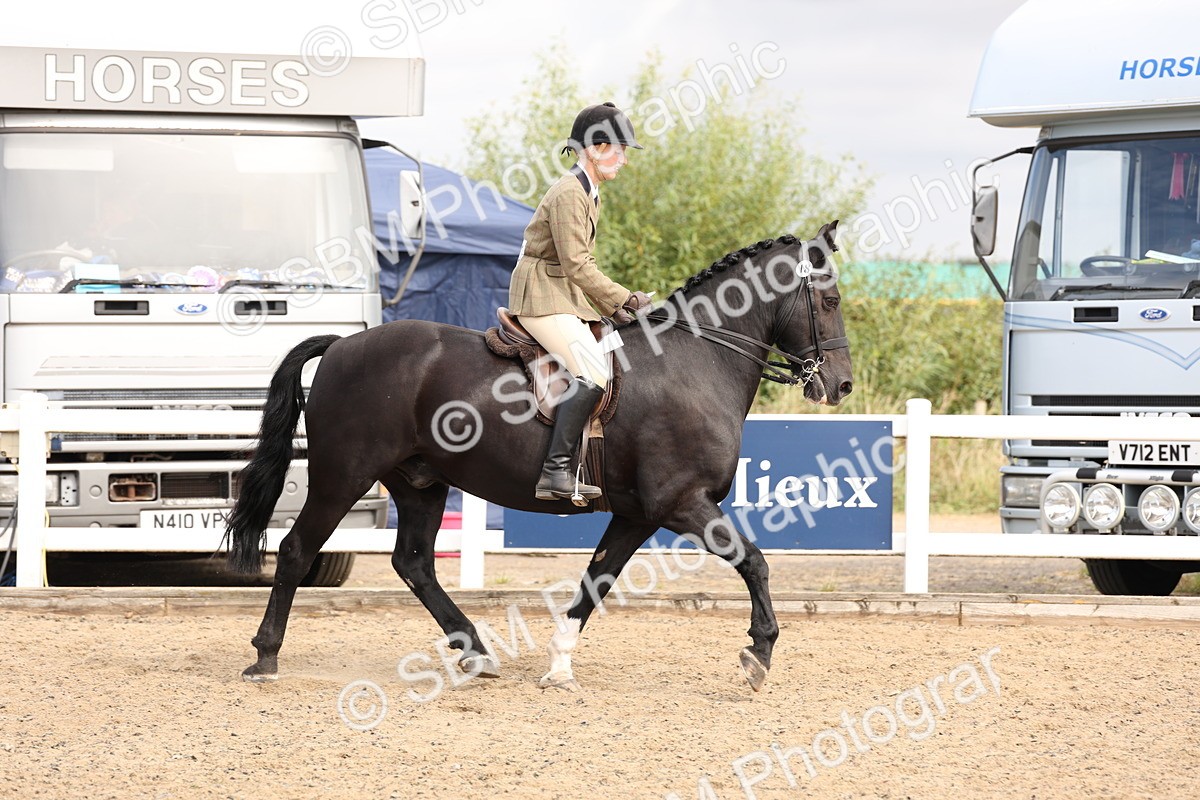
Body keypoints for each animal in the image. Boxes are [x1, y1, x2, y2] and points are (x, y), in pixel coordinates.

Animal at [225, 220, 853, 692]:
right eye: (830, 299)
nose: (841, 385)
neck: (697, 357)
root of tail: (341, 345)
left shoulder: (636, 514)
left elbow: (596, 581)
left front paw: (558, 665)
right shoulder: (682, 503)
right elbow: (754, 561)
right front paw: (759, 653)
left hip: (421, 482)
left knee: (414, 564)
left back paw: (476, 652)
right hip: (343, 475)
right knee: (297, 550)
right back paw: (265, 656)